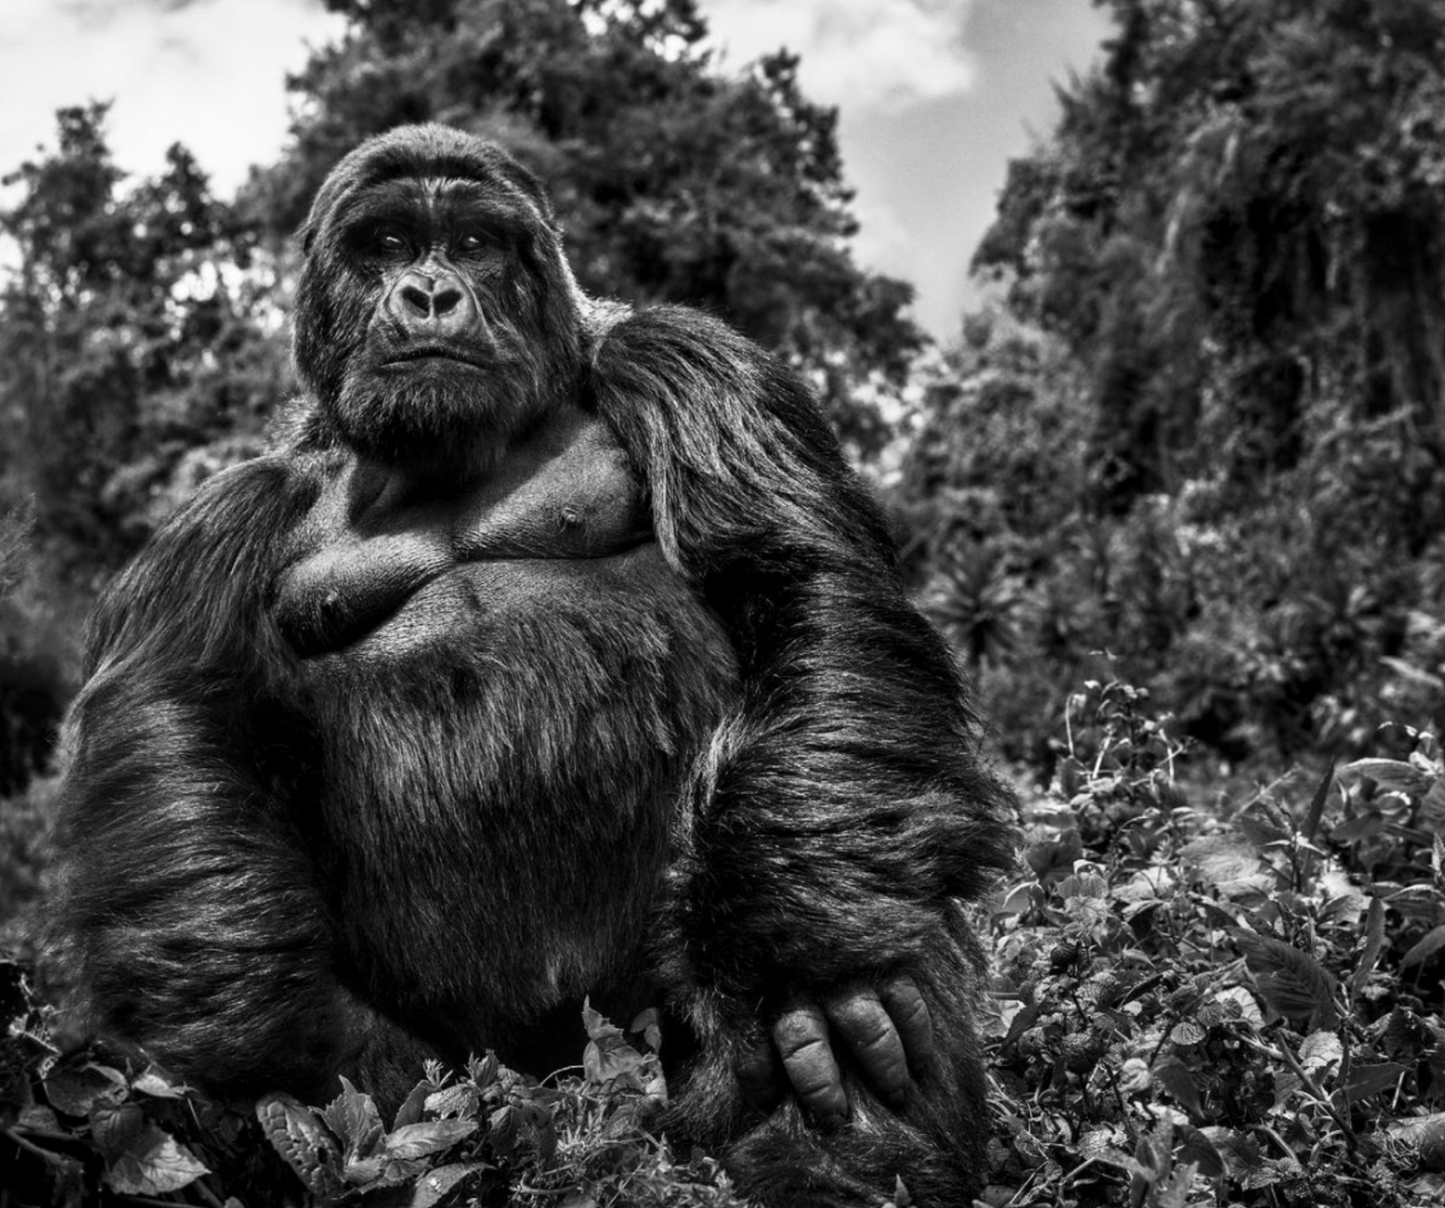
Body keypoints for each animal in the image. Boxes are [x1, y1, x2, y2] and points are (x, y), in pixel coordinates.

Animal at [45, 124, 1017, 1208]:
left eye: (473, 242)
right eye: (386, 244)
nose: (429, 293)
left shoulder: (687, 358)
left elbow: (793, 577)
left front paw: (800, 960)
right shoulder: (233, 507)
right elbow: (181, 721)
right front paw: (289, 1047)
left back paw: (845, 1138)